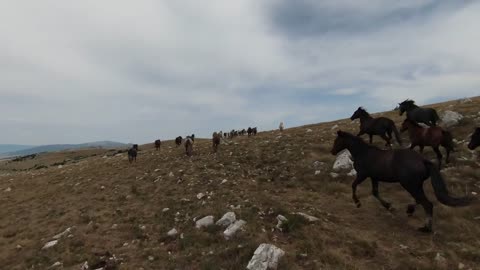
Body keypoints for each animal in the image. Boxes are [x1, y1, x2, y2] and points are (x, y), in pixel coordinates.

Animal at [332, 131, 470, 232]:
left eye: (337, 140)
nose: (332, 151)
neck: (363, 153)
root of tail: (423, 161)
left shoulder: (362, 175)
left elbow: (354, 185)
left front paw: (357, 202)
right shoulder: (374, 177)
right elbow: (375, 192)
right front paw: (389, 206)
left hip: (409, 184)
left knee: (427, 203)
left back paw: (426, 228)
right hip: (415, 185)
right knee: (420, 200)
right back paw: (410, 210)